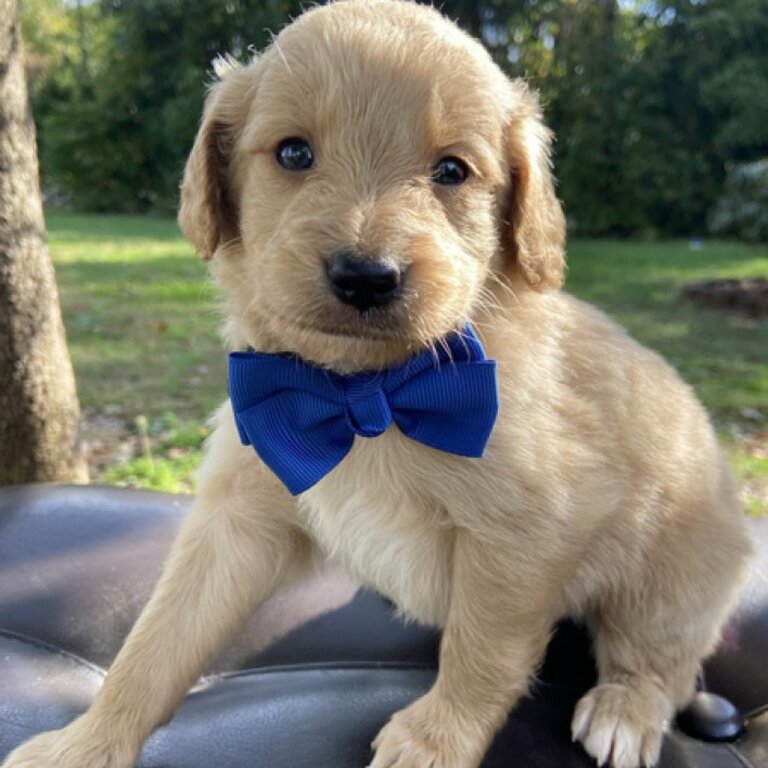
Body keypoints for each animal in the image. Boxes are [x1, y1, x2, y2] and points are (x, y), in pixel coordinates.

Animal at [3, 1, 752, 768]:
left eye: (452, 170)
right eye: (293, 154)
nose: (365, 276)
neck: (368, 392)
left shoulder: (523, 536)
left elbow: (483, 653)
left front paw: (435, 738)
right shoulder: (237, 515)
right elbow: (154, 642)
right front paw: (86, 743)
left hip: (668, 575)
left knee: (666, 663)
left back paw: (625, 707)